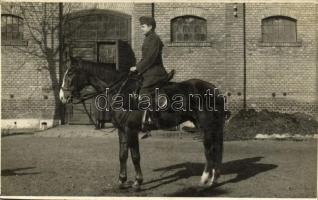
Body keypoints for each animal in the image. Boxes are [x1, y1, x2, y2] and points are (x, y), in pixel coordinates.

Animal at [59, 56, 229, 191]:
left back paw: (205, 180)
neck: (121, 91)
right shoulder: (122, 130)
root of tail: (214, 90)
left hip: (206, 127)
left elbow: (135, 156)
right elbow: (122, 155)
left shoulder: (131, 130)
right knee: (216, 149)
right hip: (211, 127)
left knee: (210, 150)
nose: (62, 96)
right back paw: (214, 179)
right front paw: (122, 181)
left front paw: (137, 182)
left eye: (70, 73)